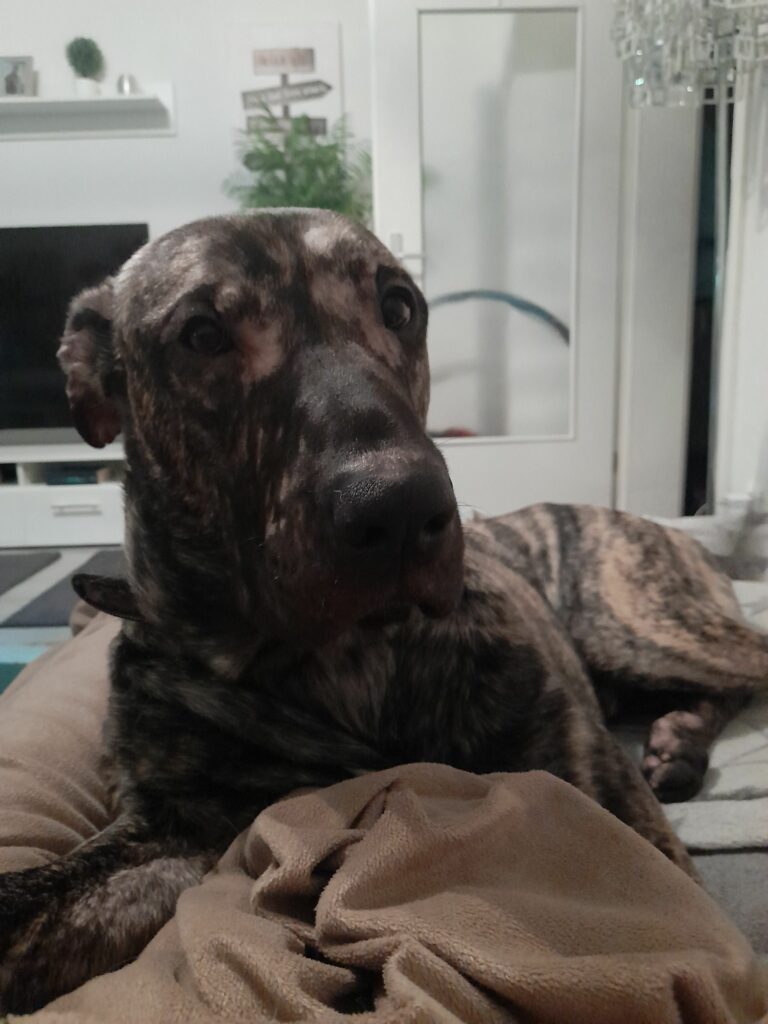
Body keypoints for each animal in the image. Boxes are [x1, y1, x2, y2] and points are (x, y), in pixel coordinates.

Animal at [1, 208, 767, 1013]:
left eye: (399, 307)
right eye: (203, 334)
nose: (400, 507)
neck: (336, 662)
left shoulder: (607, 816)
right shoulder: (170, 831)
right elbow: (21, 901)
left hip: (637, 624)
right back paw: (678, 740)